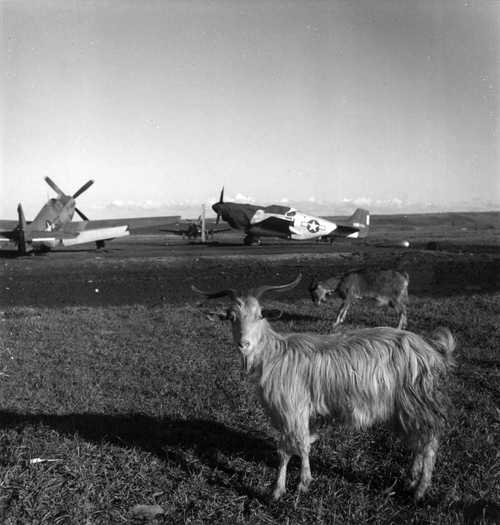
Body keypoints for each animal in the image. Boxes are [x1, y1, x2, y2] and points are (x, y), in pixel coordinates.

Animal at [193, 274, 456, 500]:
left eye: (259, 315)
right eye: (231, 316)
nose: (243, 343)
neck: (275, 354)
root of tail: (432, 350)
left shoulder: (292, 408)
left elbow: (291, 448)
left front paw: (288, 487)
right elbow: (298, 444)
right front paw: (293, 484)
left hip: (417, 401)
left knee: (429, 441)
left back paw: (420, 490)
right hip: (405, 408)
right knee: (418, 441)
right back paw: (411, 480)